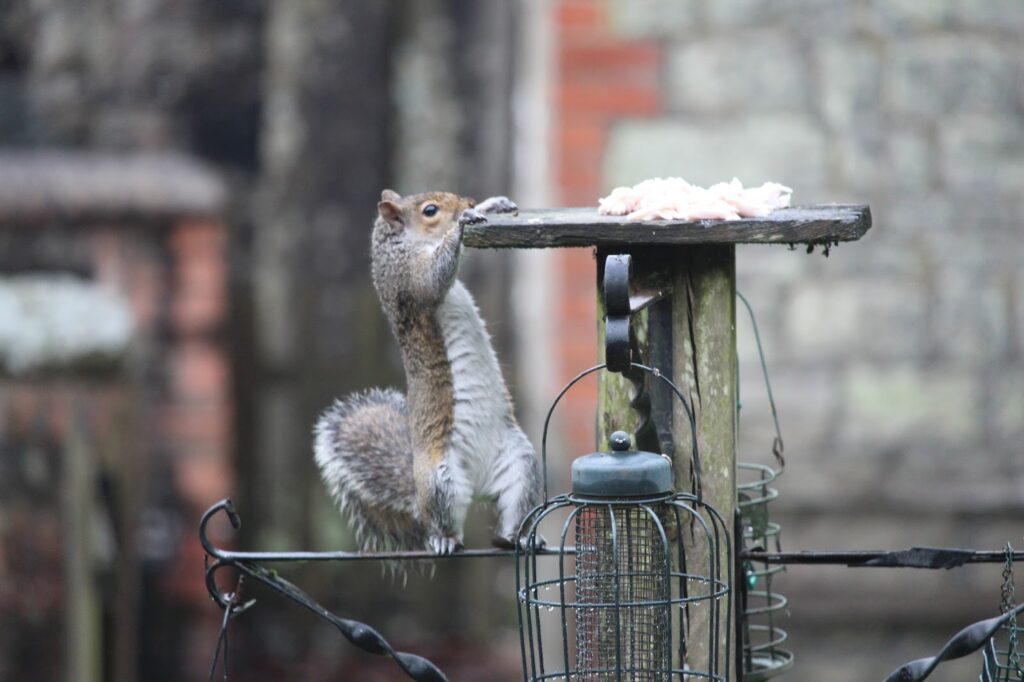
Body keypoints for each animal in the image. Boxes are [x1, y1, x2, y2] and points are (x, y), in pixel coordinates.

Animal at [314, 189, 542, 555]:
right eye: (430, 211)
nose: (467, 205)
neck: (399, 245)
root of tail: (477, 487)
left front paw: (490, 205)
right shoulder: (409, 280)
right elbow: (433, 279)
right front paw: (462, 223)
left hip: (521, 464)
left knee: (513, 508)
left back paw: (516, 536)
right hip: (441, 481)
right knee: (441, 521)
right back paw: (444, 539)